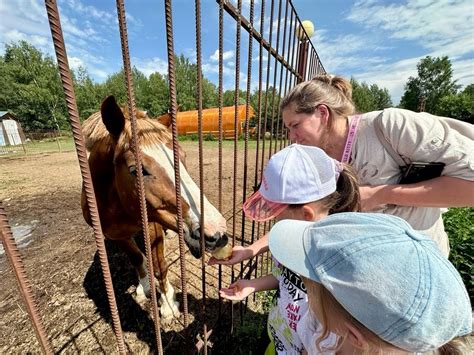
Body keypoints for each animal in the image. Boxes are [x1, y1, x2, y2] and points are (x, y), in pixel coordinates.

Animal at [82, 96, 230, 322]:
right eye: (136, 170)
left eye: (182, 157)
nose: (217, 232)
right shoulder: (115, 236)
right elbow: (136, 258)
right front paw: (144, 287)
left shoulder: (152, 227)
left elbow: (160, 267)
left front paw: (168, 304)